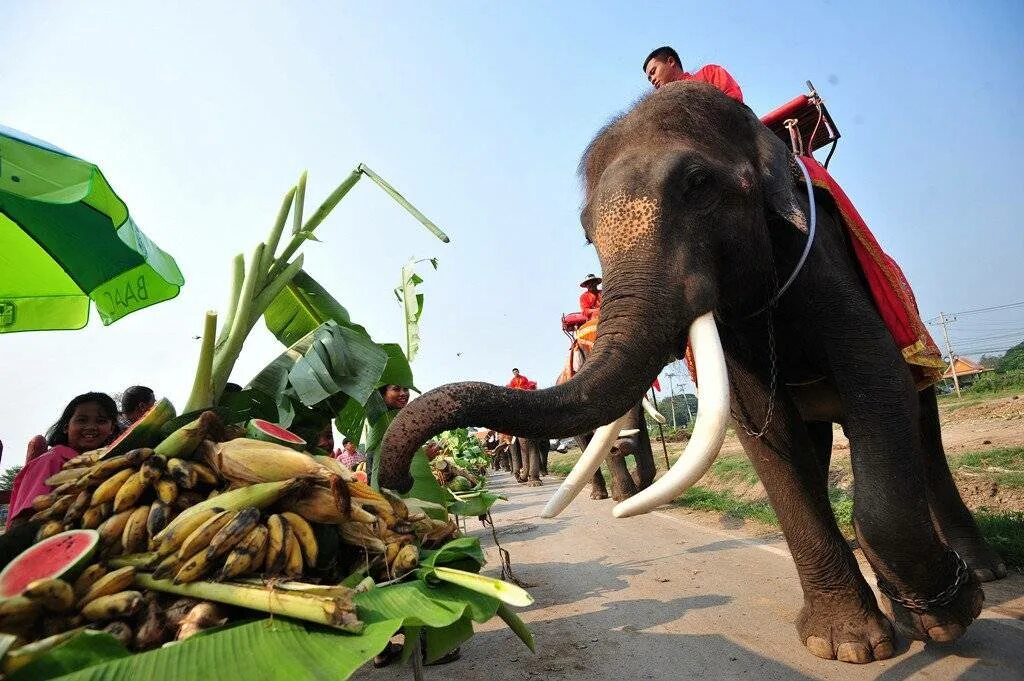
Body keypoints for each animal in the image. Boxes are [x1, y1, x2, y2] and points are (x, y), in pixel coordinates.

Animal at [380, 80, 1003, 663]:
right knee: (812, 443)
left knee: (919, 420)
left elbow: (878, 384)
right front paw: (846, 644)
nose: (396, 484)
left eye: (697, 185)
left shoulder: (821, 253)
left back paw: (983, 573)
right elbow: (764, 435)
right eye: (586, 232)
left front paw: (942, 617)